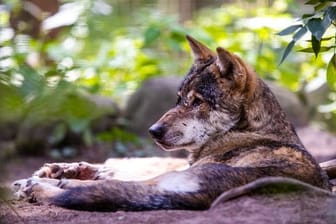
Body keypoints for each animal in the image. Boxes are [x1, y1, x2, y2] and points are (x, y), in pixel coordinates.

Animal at [11, 35, 330, 212]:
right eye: (178, 99)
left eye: (197, 102)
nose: (153, 131)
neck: (248, 131)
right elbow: (129, 165)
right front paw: (67, 168)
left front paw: (55, 177)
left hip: (171, 180)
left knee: (102, 189)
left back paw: (40, 185)